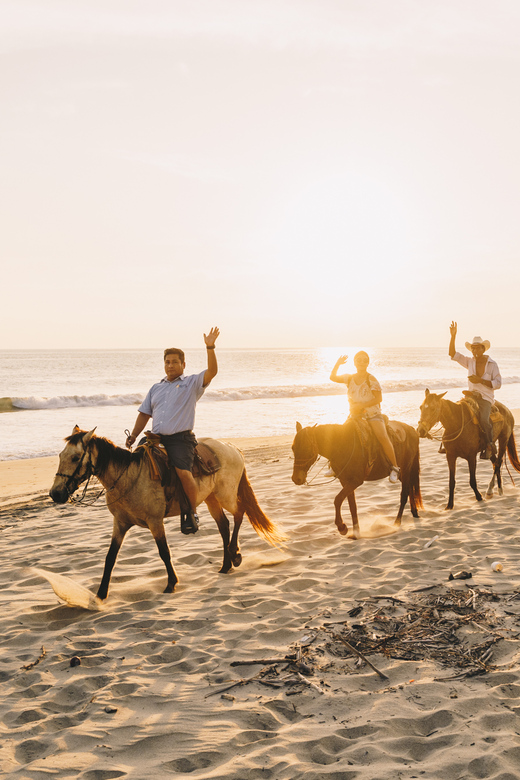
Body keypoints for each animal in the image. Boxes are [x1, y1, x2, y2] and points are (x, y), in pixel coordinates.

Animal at [49, 430, 284, 600]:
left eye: (75, 457)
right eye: (60, 456)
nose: (55, 493)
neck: (128, 477)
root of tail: (232, 448)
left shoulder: (155, 522)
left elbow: (164, 552)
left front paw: (171, 583)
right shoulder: (120, 523)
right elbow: (110, 557)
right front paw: (101, 593)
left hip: (225, 494)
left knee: (239, 514)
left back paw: (235, 555)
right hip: (211, 498)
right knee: (224, 525)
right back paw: (225, 565)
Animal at [290, 420, 420, 536]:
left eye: (306, 448)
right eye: (293, 448)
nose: (296, 479)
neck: (342, 444)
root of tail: (412, 430)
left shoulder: (356, 481)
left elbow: (337, 500)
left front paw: (342, 527)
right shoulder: (345, 482)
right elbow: (352, 505)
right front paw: (356, 531)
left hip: (406, 469)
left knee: (404, 494)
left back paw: (397, 523)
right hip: (403, 474)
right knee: (410, 489)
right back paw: (414, 512)